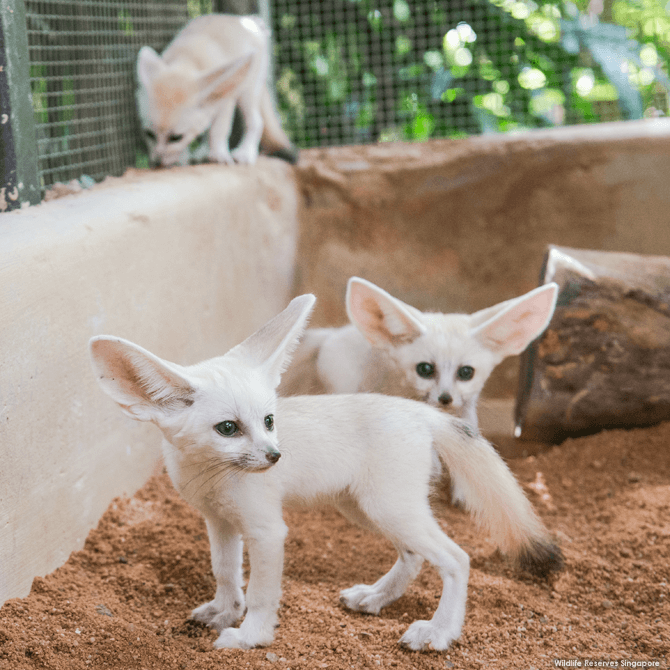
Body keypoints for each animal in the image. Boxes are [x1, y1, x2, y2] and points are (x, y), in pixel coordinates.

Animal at [135, 13, 296, 167]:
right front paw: (186, 158)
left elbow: (218, 130)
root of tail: (247, 20)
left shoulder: (226, 98)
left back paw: (245, 153)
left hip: (247, 91)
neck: (188, 60)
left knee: (256, 121)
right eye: (149, 134)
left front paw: (218, 154)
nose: (156, 163)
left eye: (176, 138)